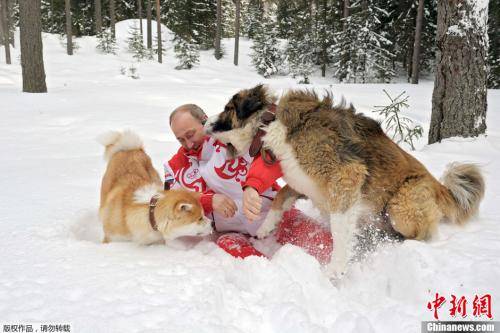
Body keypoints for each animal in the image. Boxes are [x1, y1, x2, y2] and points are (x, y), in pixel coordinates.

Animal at [205, 85, 486, 274]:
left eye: (227, 109)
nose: (206, 121)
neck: (272, 124)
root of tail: (440, 187)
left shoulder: (345, 177)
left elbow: (339, 229)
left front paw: (335, 269)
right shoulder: (303, 181)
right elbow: (282, 196)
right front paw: (265, 226)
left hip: (401, 206)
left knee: (422, 233)